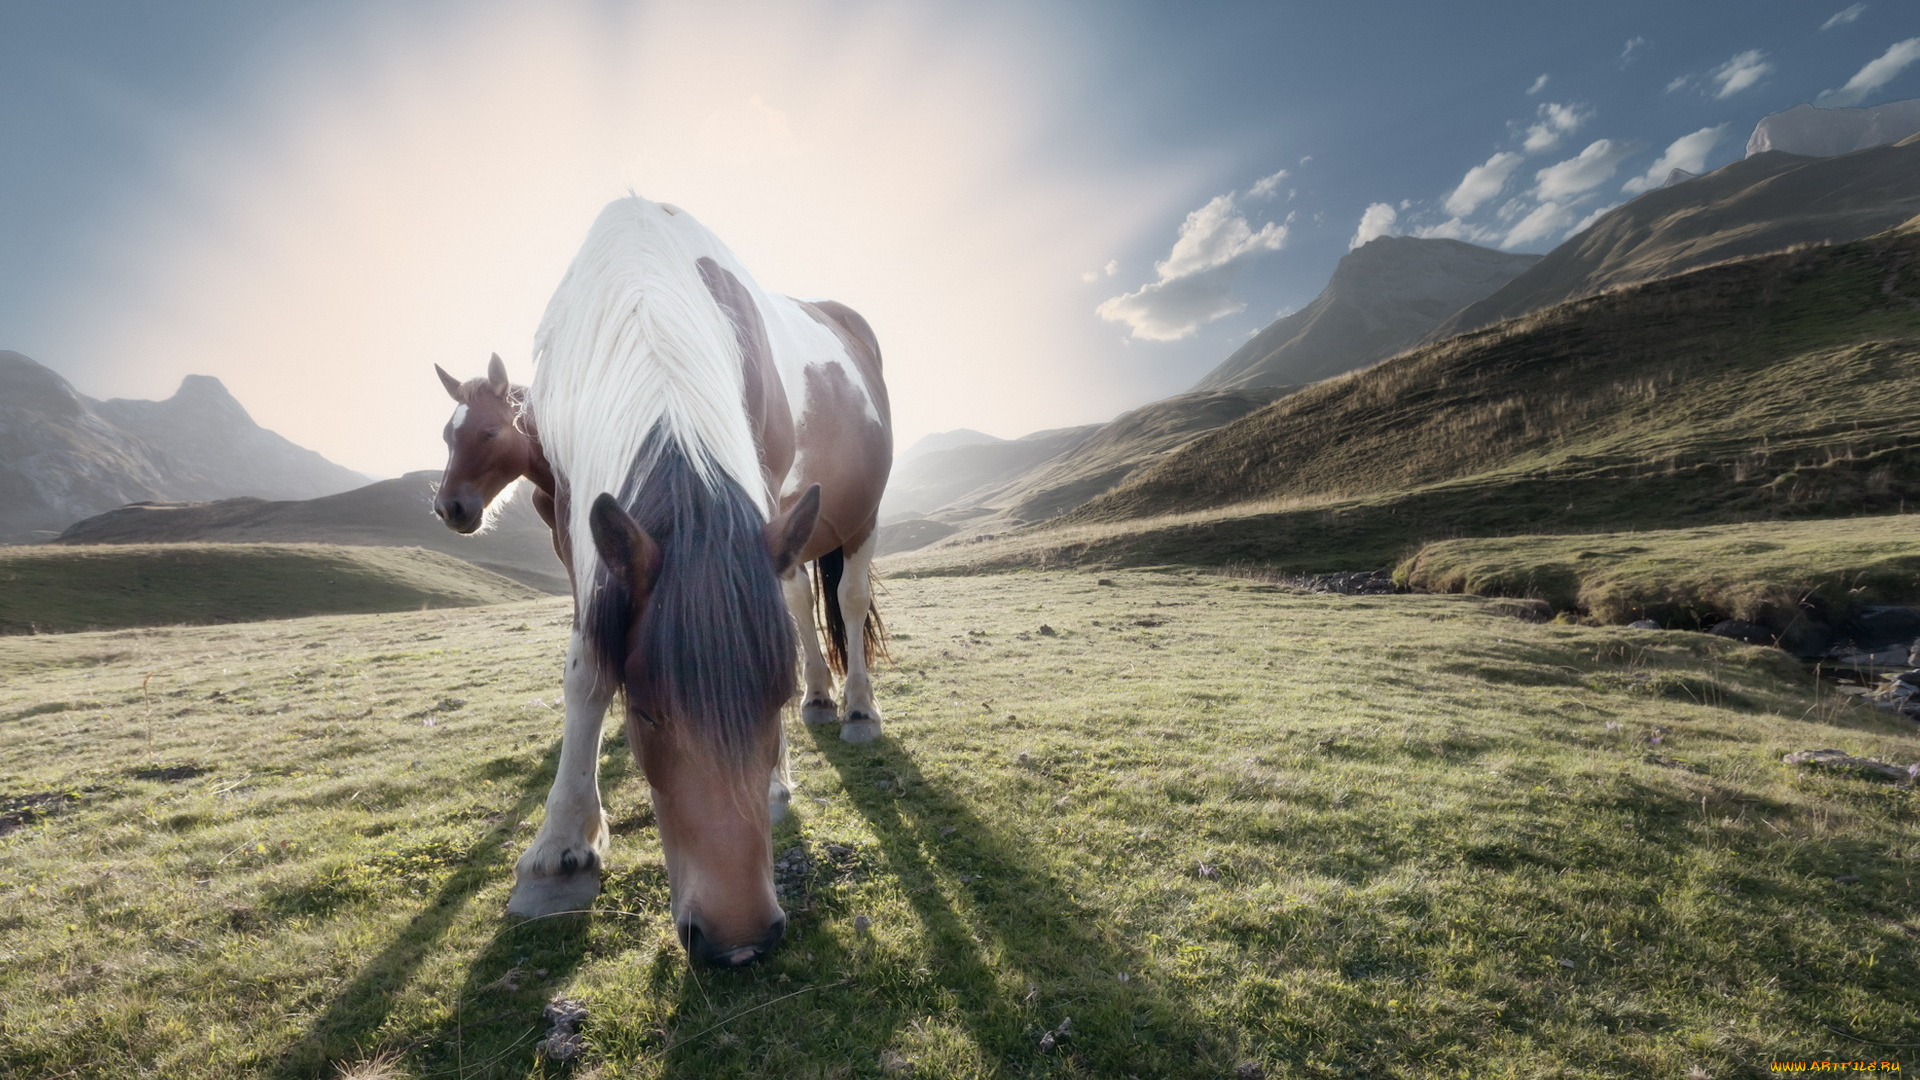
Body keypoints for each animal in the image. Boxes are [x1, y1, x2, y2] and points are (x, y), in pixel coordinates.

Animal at [432, 197, 887, 960]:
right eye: (642, 712)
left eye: (489, 433)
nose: (738, 940)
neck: (643, 301)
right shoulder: (576, 529)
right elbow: (587, 667)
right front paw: (562, 848)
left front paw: (776, 783)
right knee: (799, 599)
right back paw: (823, 699)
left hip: (859, 518)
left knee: (847, 601)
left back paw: (855, 708)